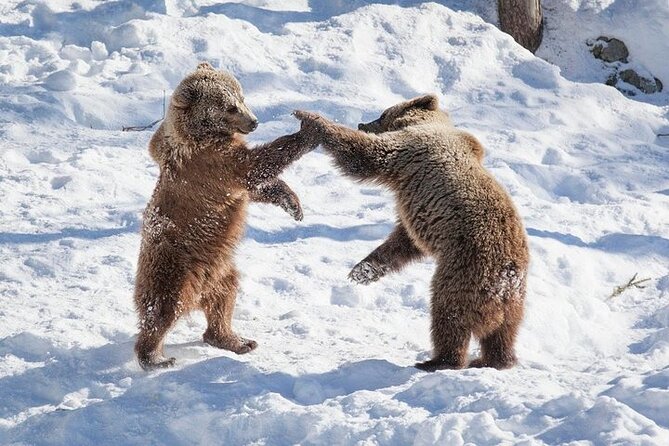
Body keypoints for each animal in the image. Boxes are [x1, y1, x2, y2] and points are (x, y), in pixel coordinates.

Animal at [134, 62, 315, 370]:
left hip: (220, 271)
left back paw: (235, 340)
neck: (201, 134)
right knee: (161, 308)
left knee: (224, 300)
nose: (254, 122)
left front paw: (293, 203)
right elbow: (255, 166)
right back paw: (155, 357)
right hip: (172, 267)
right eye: (229, 106)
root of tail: (198, 292)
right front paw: (308, 131)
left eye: (241, 97)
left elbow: (254, 187)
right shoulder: (210, 162)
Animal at [294, 94, 529, 371]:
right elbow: (402, 242)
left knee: (448, 314)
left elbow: (364, 155)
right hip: (514, 300)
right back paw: (493, 360)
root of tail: (505, 278)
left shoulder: (408, 151)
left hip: (463, 271)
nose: (363, 123)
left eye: (382, 114)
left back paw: (438, 360)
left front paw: (310, 117)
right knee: (503, 332)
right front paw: (362, 271)